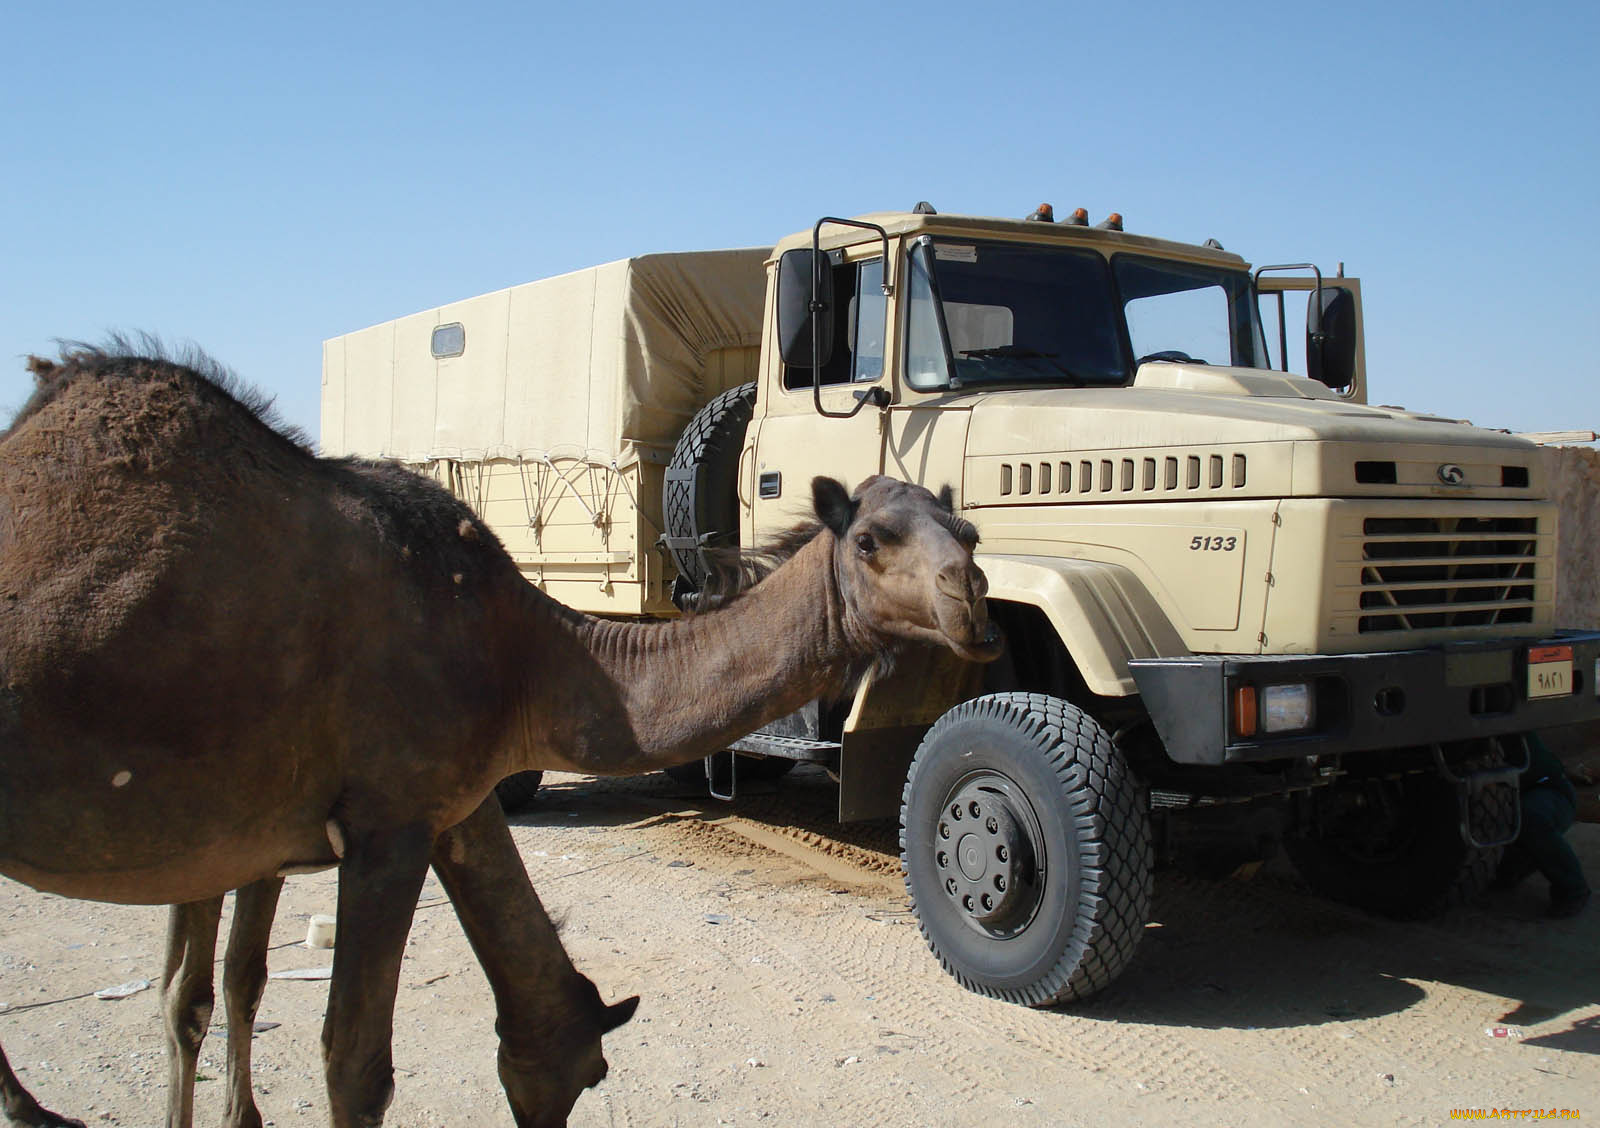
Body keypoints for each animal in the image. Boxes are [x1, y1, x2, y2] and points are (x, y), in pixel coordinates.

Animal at [0, 342, 998, 1126]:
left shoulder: (337, 821)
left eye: (968, 532)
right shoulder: (388, 820)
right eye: (869, 540)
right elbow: (350, 1066)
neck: (514, 648)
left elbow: (208, 994)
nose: (973, 603)